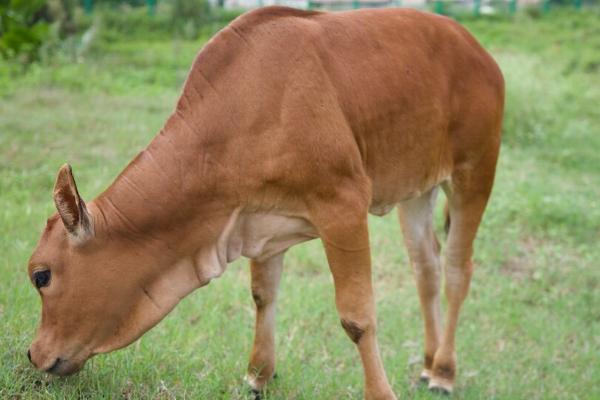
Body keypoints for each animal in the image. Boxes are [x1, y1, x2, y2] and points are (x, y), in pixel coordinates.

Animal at [29, 7, 506, 400]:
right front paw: (258, 374)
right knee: (426, 268)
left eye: (41, 276)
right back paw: (428, 362)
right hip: (417, 189)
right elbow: (263, 294)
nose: (34, 354)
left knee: (457, 269)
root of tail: (476, 49)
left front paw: (380, 392)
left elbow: (356, 316)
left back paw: (444, 371)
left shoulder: (344, 204)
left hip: (475, 170)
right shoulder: (256, 219)